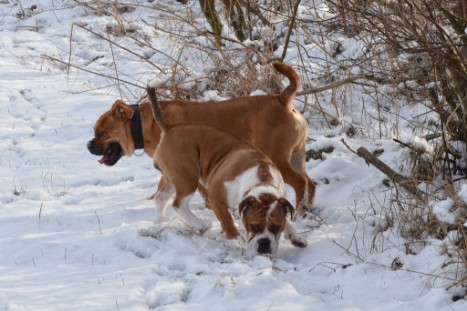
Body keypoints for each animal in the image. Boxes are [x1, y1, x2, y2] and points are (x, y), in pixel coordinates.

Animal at [88, 63, 314, 217]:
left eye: (100, 133)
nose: (88, 144)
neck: (144, 123)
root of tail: (282, 100)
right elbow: (163, 185)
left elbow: (199, 189)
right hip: (296, 157)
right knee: (310, 182)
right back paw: (308, 208)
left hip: (278, 158)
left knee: (300, 183)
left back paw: (299, 212)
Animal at [146, 86, 308, 256]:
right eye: (254, 226)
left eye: (276, 227)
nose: (264, 243)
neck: (261, 179)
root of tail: (169, 127)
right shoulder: (215, 197)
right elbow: (227, 222)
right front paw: (237, 241)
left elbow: (288, 221)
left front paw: (296, 237)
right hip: (187, 177)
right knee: (179, 204)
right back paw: (201, 223)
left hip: (173, 177)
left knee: (160, 198)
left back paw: (160, 222)